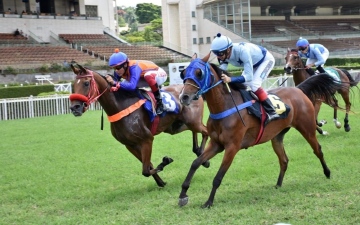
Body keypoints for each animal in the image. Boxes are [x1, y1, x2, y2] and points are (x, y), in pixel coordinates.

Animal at [68, 62, 208, 187]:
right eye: (74, 85)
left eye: (86, 83)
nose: (75, 107)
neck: (121, 107)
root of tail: (194, 91)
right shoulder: (130, 145)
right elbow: (148, 166)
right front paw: (161, 182)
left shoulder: (147, 139)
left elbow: (145, 170)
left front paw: (165, 161)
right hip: (178, 126)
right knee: (196, 132)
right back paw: (199, 153)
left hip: (192, 122)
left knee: (206, 131)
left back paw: (202, 155)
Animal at [177, 52, 344, 207]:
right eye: (183, 73)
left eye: (199, 73)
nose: (184, 97)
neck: (226, 105)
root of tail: (298, 89)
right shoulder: (216, 144)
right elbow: (195, 163)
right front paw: (183, 195)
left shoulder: (232, 147)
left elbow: (218, 177)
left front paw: (209, 202)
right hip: (277, 137)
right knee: (284, 160)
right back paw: (278, 184)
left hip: (307, 128)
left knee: (318, 150)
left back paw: (327, 172)